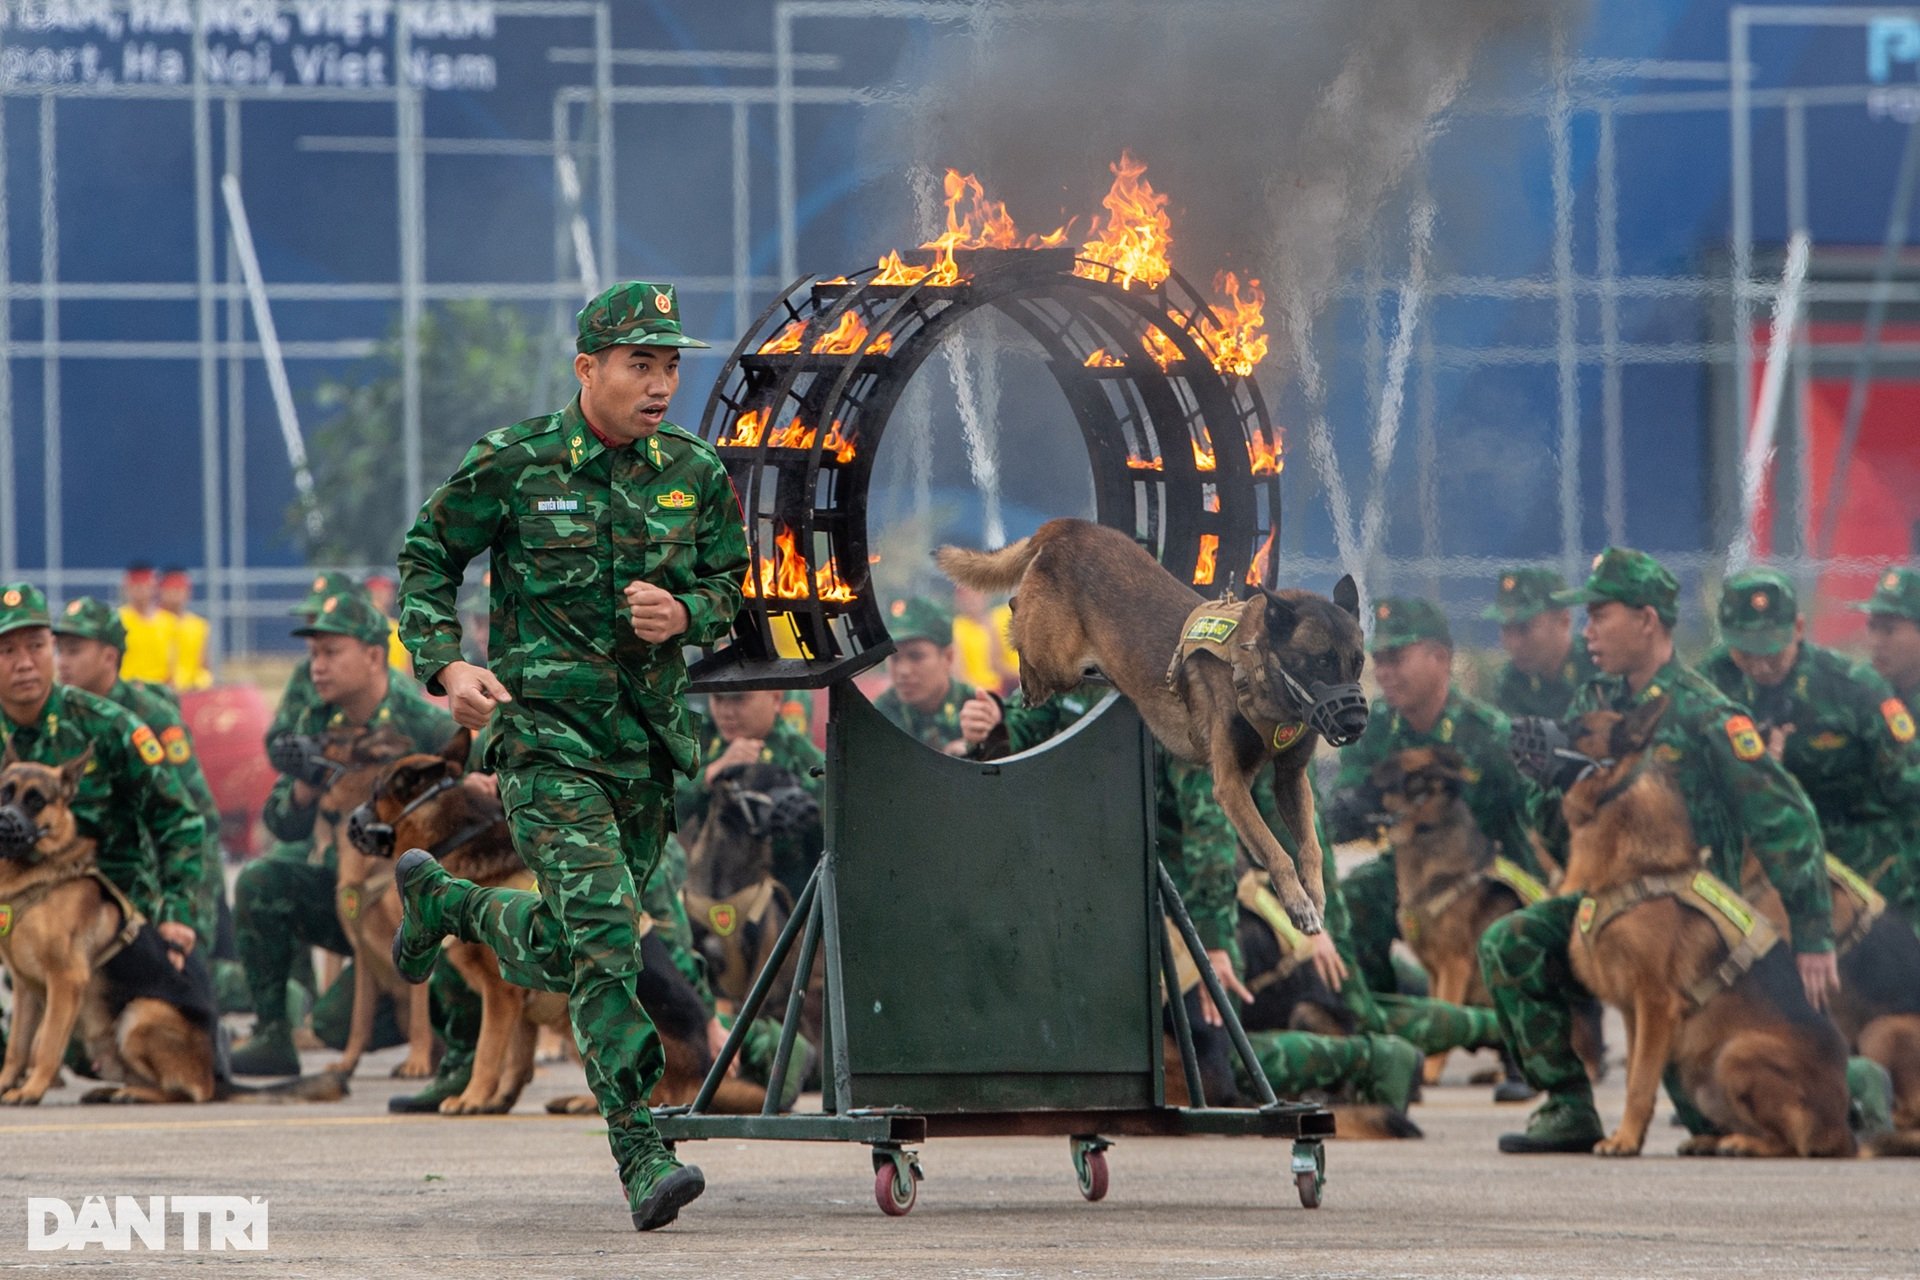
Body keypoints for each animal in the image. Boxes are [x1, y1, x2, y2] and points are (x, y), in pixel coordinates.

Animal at [0, 756, 349, 1105]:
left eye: (36, 801)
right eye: (5, 793)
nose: (5, 821)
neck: (37, 876)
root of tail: (217, 1077)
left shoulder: (66, 980)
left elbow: (46, 1045)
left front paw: (31, 1090)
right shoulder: (26, 988)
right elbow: (17, 1047)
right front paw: (8, 1083)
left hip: (142, 1013)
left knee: (185, 1092)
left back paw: (133, 1094)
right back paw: (113, 1090)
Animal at [933, 514, 1367, 936]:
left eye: (1357, 661)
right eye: (1321, 660)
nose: (1357, 721)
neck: (1253, 668)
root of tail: (1072, 526)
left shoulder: (1290, 780)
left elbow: (1310, 847)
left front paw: (1314, 896)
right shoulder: (1230, 786)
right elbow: (1275, 850)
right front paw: (1298, 905)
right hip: (1057, 659)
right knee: (1015, 609)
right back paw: (1029, 679)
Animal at [1551, 702, 1866, 1159]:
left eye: (1579, 726)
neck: (1641, 870)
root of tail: (1843, 1129)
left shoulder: (1655, 1003)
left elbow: (1640, 1082)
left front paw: (1625, 1140)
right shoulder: (1631, 1011)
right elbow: (1634, 1075)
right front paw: (1629, 1136)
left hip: (1736, 1053)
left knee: (1791, 1144)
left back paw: (1742, 1143)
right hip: (1698, 1074)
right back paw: (1711, 1138)